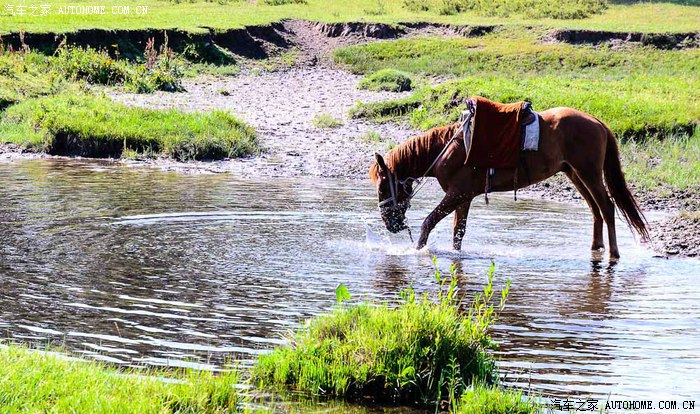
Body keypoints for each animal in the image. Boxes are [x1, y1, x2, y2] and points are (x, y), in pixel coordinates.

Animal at [370, 106, 648, 258]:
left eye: (383, 185)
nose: (390, 224)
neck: (449, 148)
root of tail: (598, 123)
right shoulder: (463, 197)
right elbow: (458, 233)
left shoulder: (458, 193)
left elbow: (429, 221)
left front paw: (417, 251)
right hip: (574, 173)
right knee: (595, 209)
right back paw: (596, 248)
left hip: (589, 173)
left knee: (607, 207)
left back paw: (613, 253)